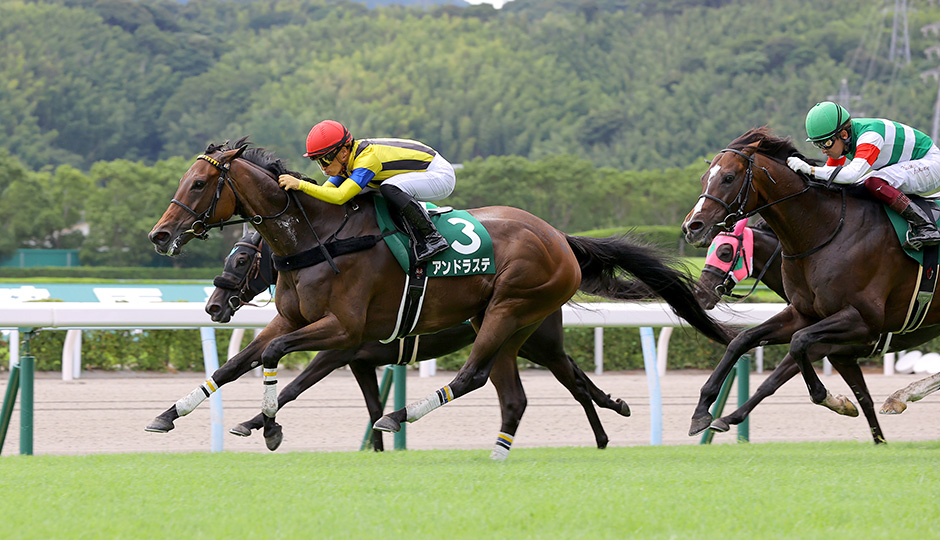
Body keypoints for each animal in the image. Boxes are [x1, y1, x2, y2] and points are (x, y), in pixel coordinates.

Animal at [207, 231, 632, 456]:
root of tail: (558, 250)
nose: (213, 306)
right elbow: (372, 406)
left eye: (242, 260)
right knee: (576, 377)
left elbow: (292, 388)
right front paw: (379, 448)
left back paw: (604, 432)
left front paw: (256, 424)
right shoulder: (360, 360)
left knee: (575, 383)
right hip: (525, 343)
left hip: (536, 341)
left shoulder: (338, 348)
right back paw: (613, 412)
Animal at [696, 217, 888, 440]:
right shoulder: (840, 356)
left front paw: (728, 418)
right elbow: (865, 399)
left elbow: (770, 382)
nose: (700, 293)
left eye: (725, 252)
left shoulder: (819, 347)